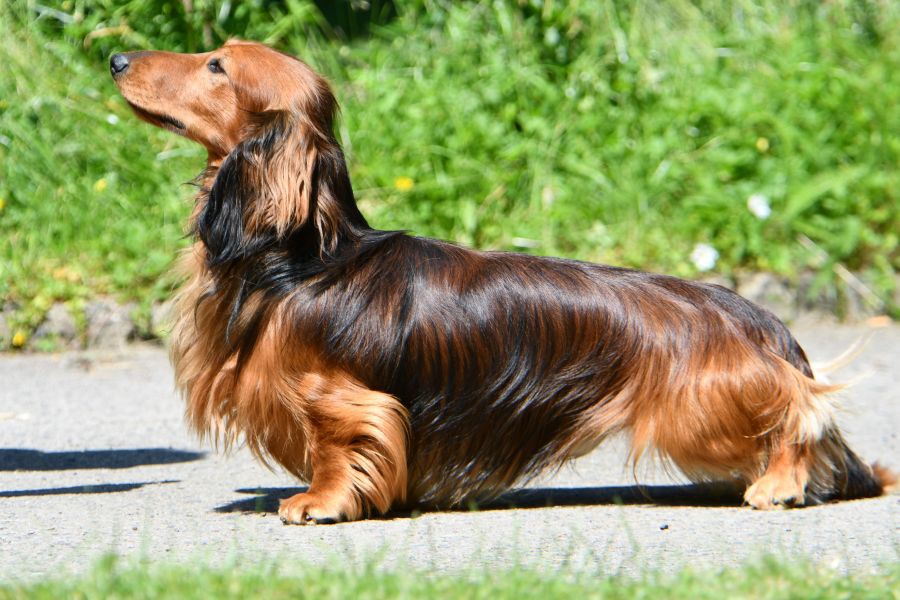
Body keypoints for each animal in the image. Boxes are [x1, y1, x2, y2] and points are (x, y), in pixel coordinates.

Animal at [110, 40, 893, 524]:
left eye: (216, 65)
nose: (114, 57)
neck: (307, 258)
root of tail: (763, 323)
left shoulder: (341, 398)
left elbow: (341, 448)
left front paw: (320, 502)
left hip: (700, 406)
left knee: (800, 415)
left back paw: (780, 482)